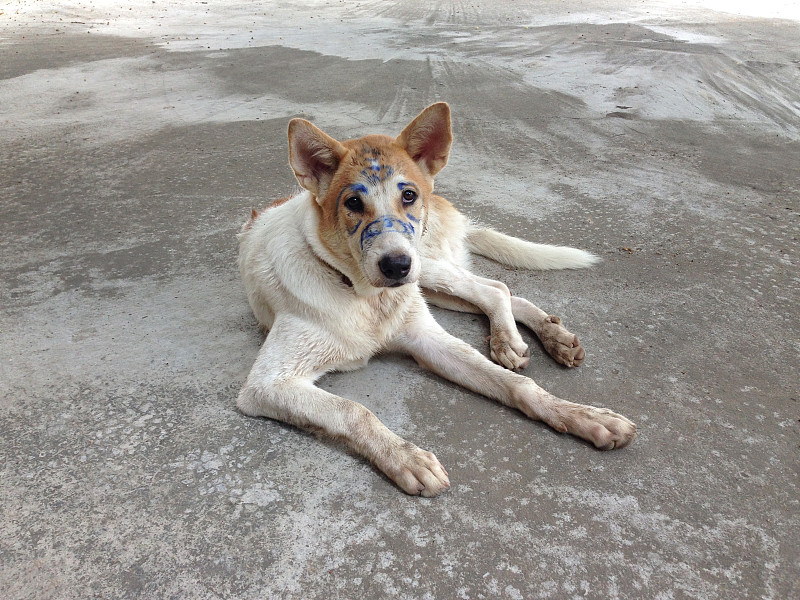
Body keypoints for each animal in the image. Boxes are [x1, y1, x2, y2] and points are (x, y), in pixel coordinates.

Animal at [234, 103, 636, 496]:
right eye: (353, 202)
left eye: (408, 195)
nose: (396, 265)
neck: (363, 295)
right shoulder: (267, 385)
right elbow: (353, 410)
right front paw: (404, 457)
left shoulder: (425, 336)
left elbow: (517, 385)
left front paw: (585, 416)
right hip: (428, 283)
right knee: (499, 290)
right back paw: (543, 335)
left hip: (426, 269)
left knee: (492, 289)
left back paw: (521, 339)